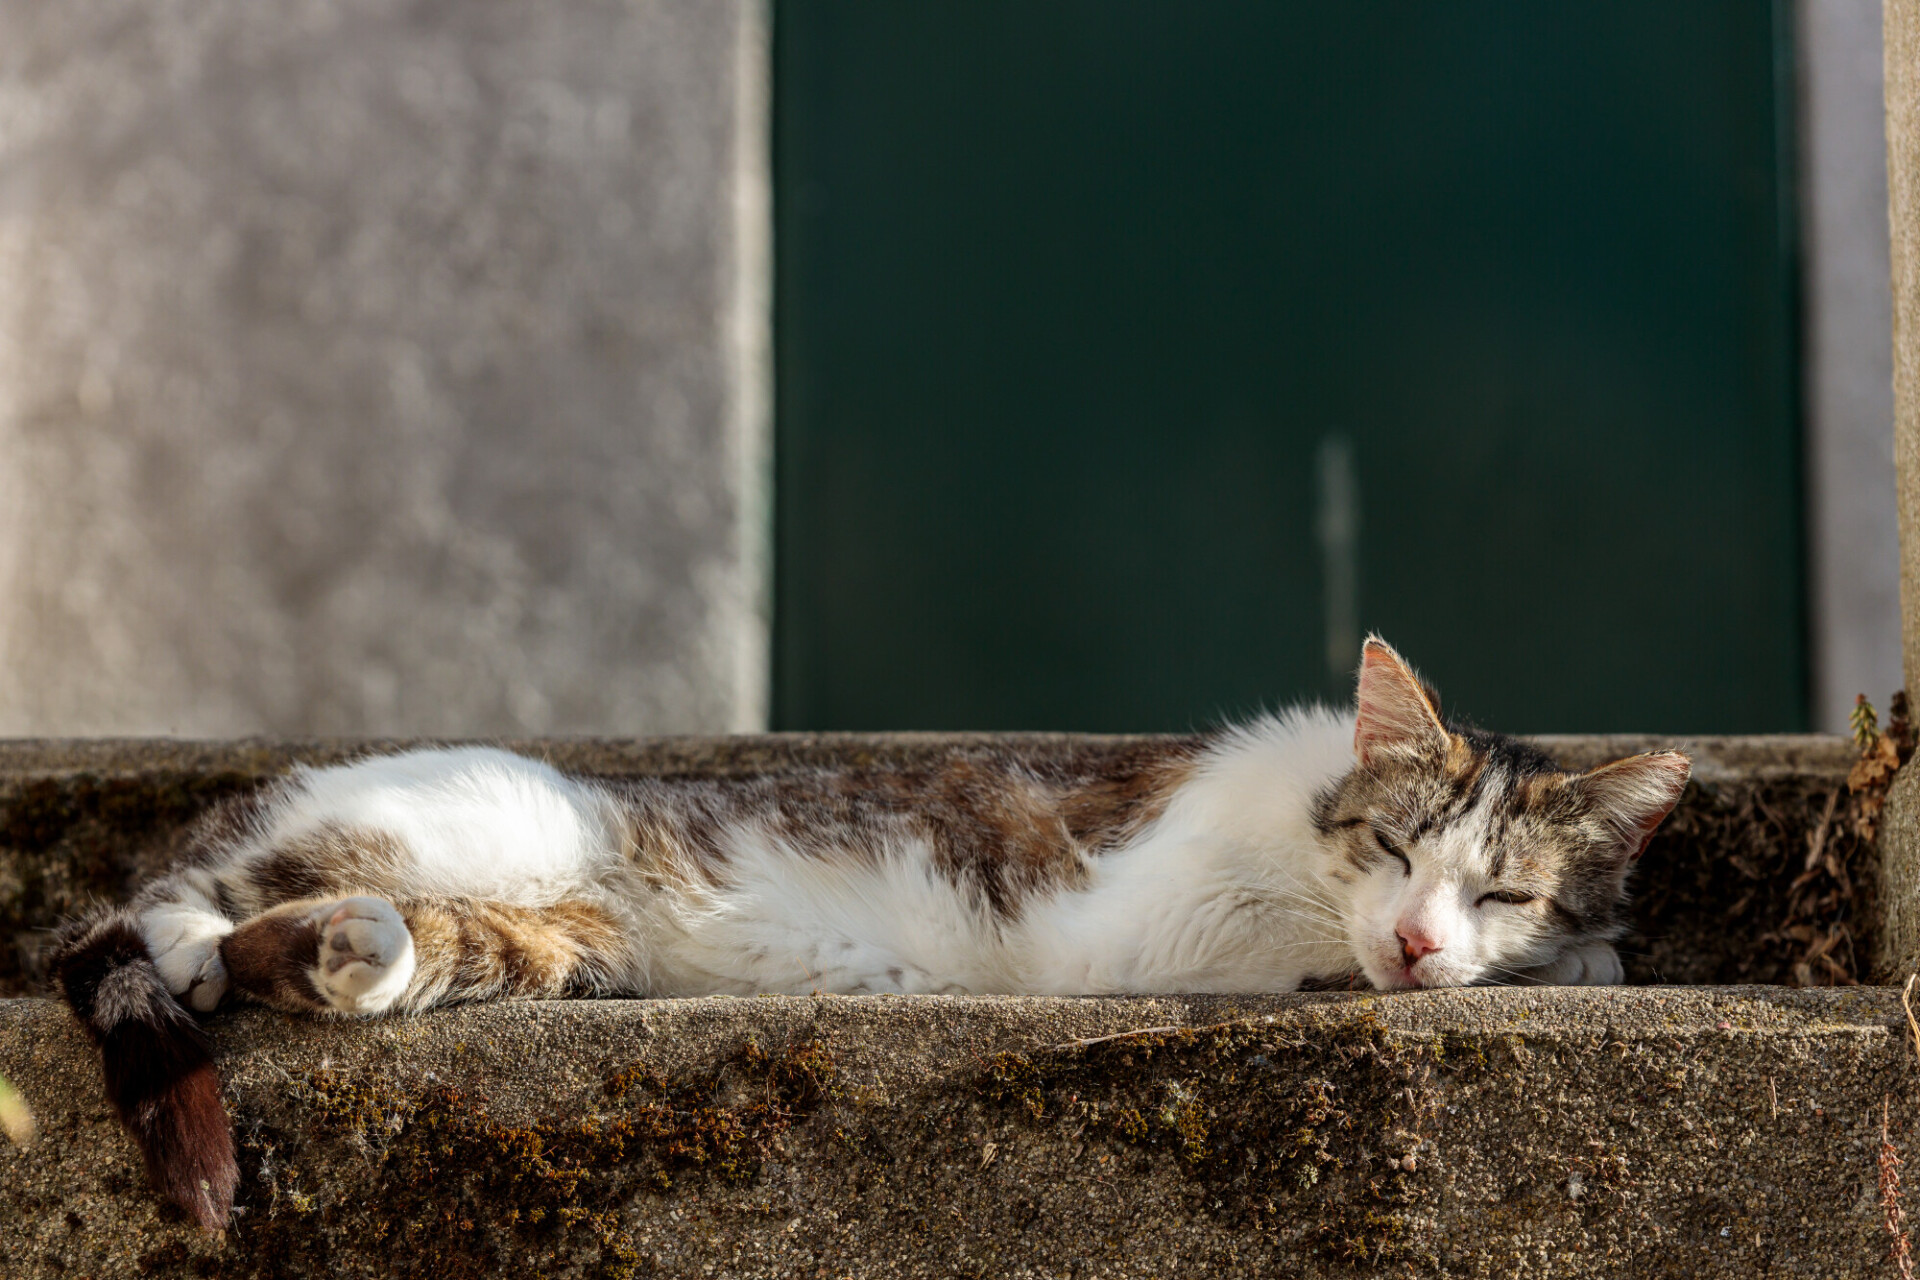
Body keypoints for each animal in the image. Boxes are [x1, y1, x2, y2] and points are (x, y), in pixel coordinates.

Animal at [48, 640, 1697, 1228]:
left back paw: (337, 955)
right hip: (475, 821)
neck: (1308, 826)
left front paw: (1580, 947)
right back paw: (187, 940)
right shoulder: (1141, 922)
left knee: (339, 940)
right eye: (1399, 847)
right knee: (161, 897)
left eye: (1499, 889)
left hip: (534, 940)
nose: (1421, 944)